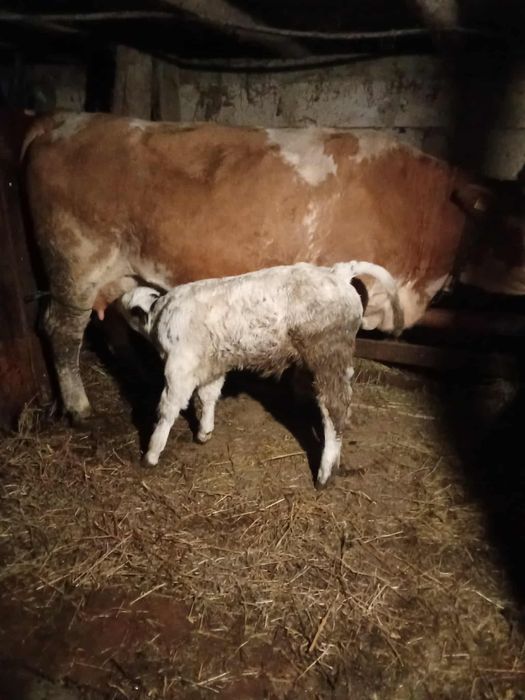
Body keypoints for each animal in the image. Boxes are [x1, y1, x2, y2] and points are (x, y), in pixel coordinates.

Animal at [21, 111, 524, 424]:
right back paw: (79, 407)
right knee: (62, 329)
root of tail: (65, 119)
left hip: (118, 270)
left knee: (111, 325)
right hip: (75, 265)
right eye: (512, 223)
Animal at [118, 261, 402, 486]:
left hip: (327, 356)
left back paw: (324, 474)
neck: (160, 313)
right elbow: (208, 396)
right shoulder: (212, 366)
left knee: (334, 411)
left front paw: (151, 453)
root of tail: (337, 272)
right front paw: (204, 432)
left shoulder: (179, 367)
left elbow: (167, 409)